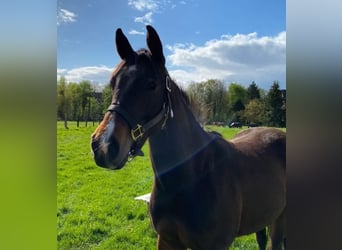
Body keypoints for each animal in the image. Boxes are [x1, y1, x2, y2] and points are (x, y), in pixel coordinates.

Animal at [91, 25, 286, 250]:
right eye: (113, 82)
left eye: (152, 84)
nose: (103, 146)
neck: (190, 176)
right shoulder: (166, 240)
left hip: (279, 219)